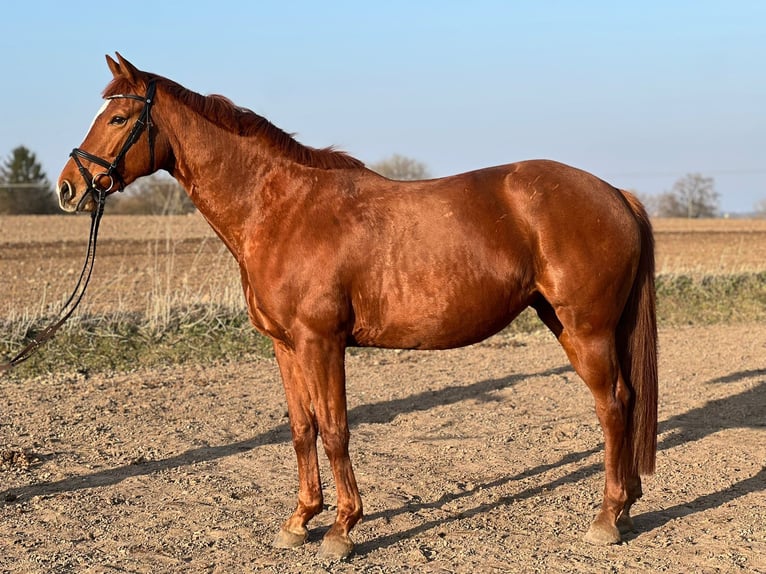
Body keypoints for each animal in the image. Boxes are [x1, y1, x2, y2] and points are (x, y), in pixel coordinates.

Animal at [56, 53, 658, 560]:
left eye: (118, 118)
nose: (68, 188)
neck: (281, 209)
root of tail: (615, 194)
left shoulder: (322, 342)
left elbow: (336, 429)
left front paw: (342, 529)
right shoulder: (285, 346)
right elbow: (302, 428)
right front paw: (300, 521)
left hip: (586, 330)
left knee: (612, 405)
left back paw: (607, 518)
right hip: (569, 325)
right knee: (624, 401)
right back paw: (627, 508)